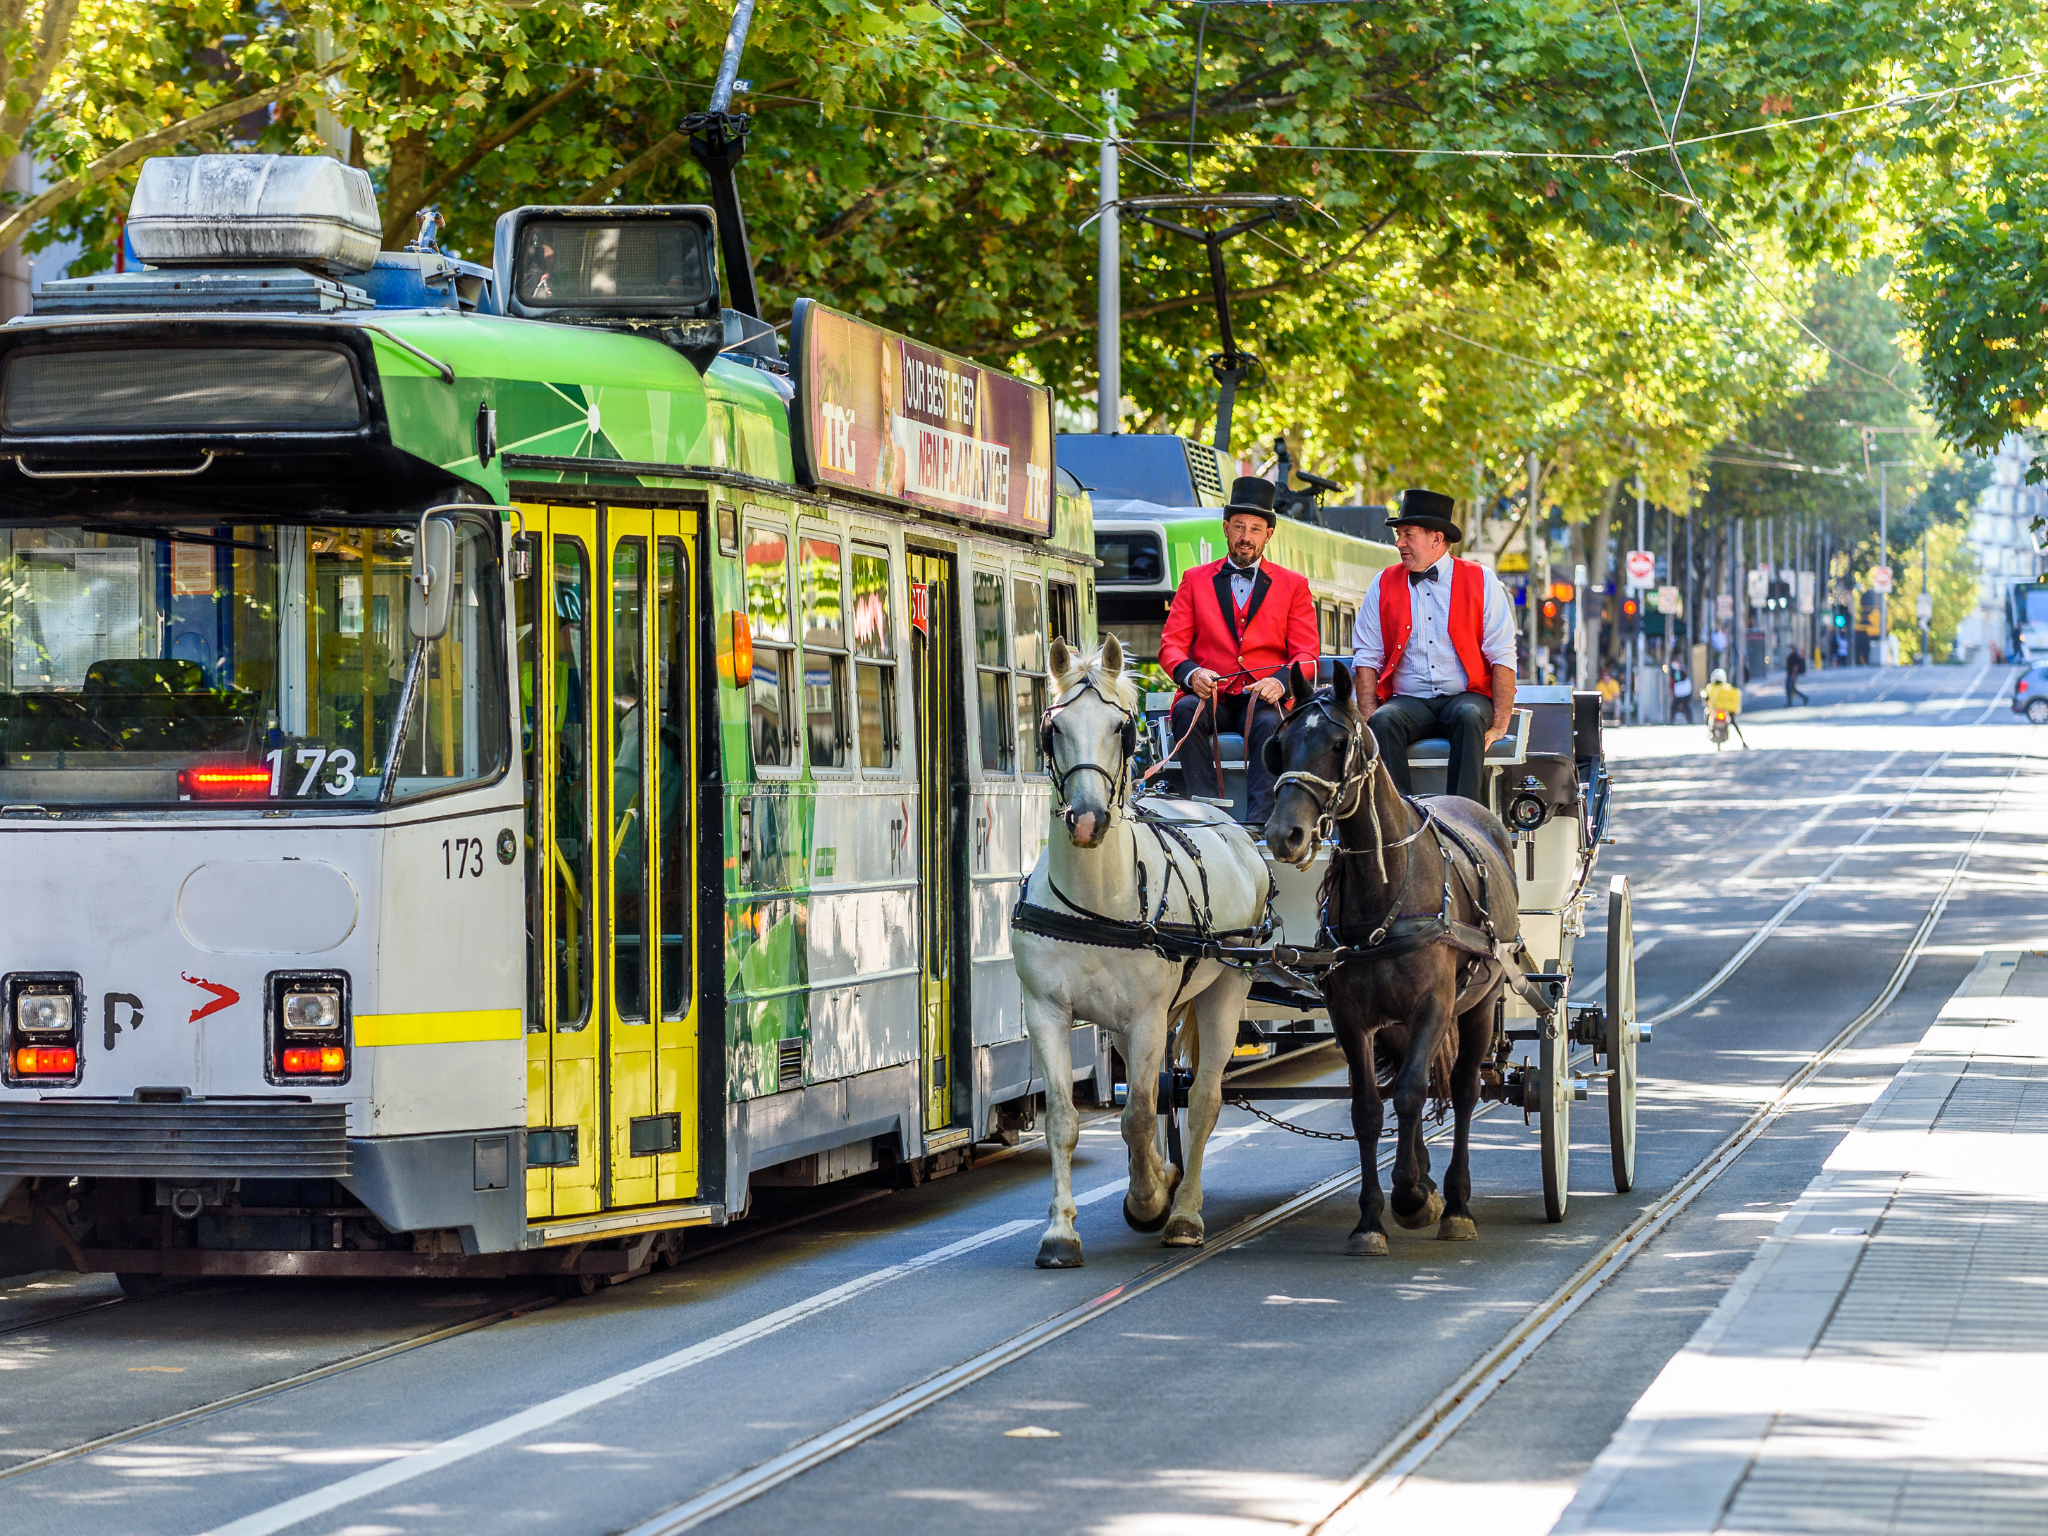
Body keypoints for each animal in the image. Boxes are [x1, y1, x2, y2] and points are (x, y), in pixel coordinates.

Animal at [1015, 638, 1269, 1277]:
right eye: (1053, 728)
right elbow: (1067, 1120)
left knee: (1202, 1099)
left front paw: (1152, 1198)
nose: (1086, 819)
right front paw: (1061, 1232)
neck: (1097, 901)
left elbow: (1135, 1116)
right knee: (1159, 1093)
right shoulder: (1048, 1012)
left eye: (1122, 729)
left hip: (1223, 990)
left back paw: (1184, 1213)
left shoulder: (1149, 1016)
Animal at [1253, 667, 1531, 1253]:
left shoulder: (1434, 1006)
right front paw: (1372, 1217)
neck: (1386, 889)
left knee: (1465, 1090)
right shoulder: (1352, 1019)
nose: (1283, 835)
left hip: (1481, 1001)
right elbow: (1369, 1107)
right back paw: (1427, 1182)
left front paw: (1408, 1197)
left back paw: (1454, 1202)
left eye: (1339, 745)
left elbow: (1408, 1093)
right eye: (1279, 747)